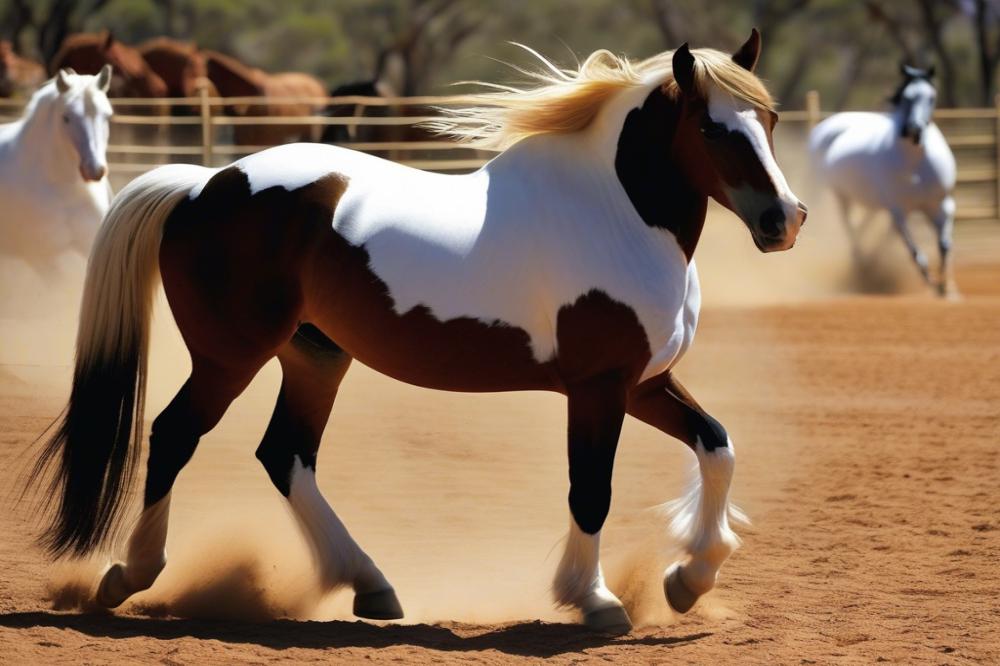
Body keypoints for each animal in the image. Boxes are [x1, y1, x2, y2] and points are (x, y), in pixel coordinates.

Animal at [31, 30, 806, 634]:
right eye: (710, 128)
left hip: (315, 358)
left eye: (768, 118)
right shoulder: (598, 389)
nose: (784, 220)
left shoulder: (644, 384)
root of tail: (204, 185)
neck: (611, 212)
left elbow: (718, 448)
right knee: (173, 436)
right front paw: (595, 600)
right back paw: (128, 575)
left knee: (285, 456)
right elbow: (591, 490)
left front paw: (688, 581)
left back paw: (370, 586)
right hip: (230, 358)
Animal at [809, 64, 956, 296]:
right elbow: (914, 251)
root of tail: (825, 126)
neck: (916, 163)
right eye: (906, 97)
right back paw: (860, 262)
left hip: (872, 202)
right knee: (849, 226)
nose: (915, 130)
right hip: (840, 195)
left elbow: (944, 244)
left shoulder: (942, 205)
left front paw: (944, 287)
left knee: (862, 227)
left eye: (932, 97)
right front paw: (931, 281)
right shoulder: (899, 211)